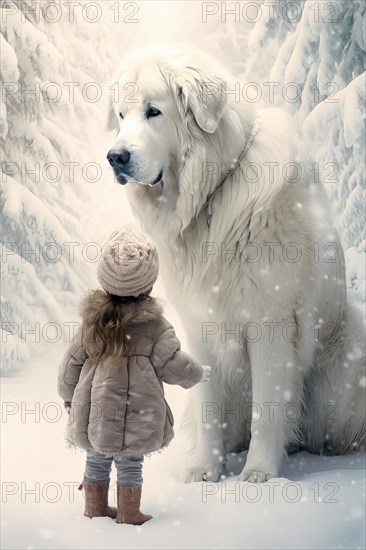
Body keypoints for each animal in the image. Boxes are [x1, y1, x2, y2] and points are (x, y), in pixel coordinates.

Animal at [104, 45, 364, 484]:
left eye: (153, 111)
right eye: (121, 115)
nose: (115, 158)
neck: (213, 194)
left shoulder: (271, 321)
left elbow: (269, 406)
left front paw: (258, 474)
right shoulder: (199, 323)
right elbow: (209, 406)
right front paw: (205, 472)